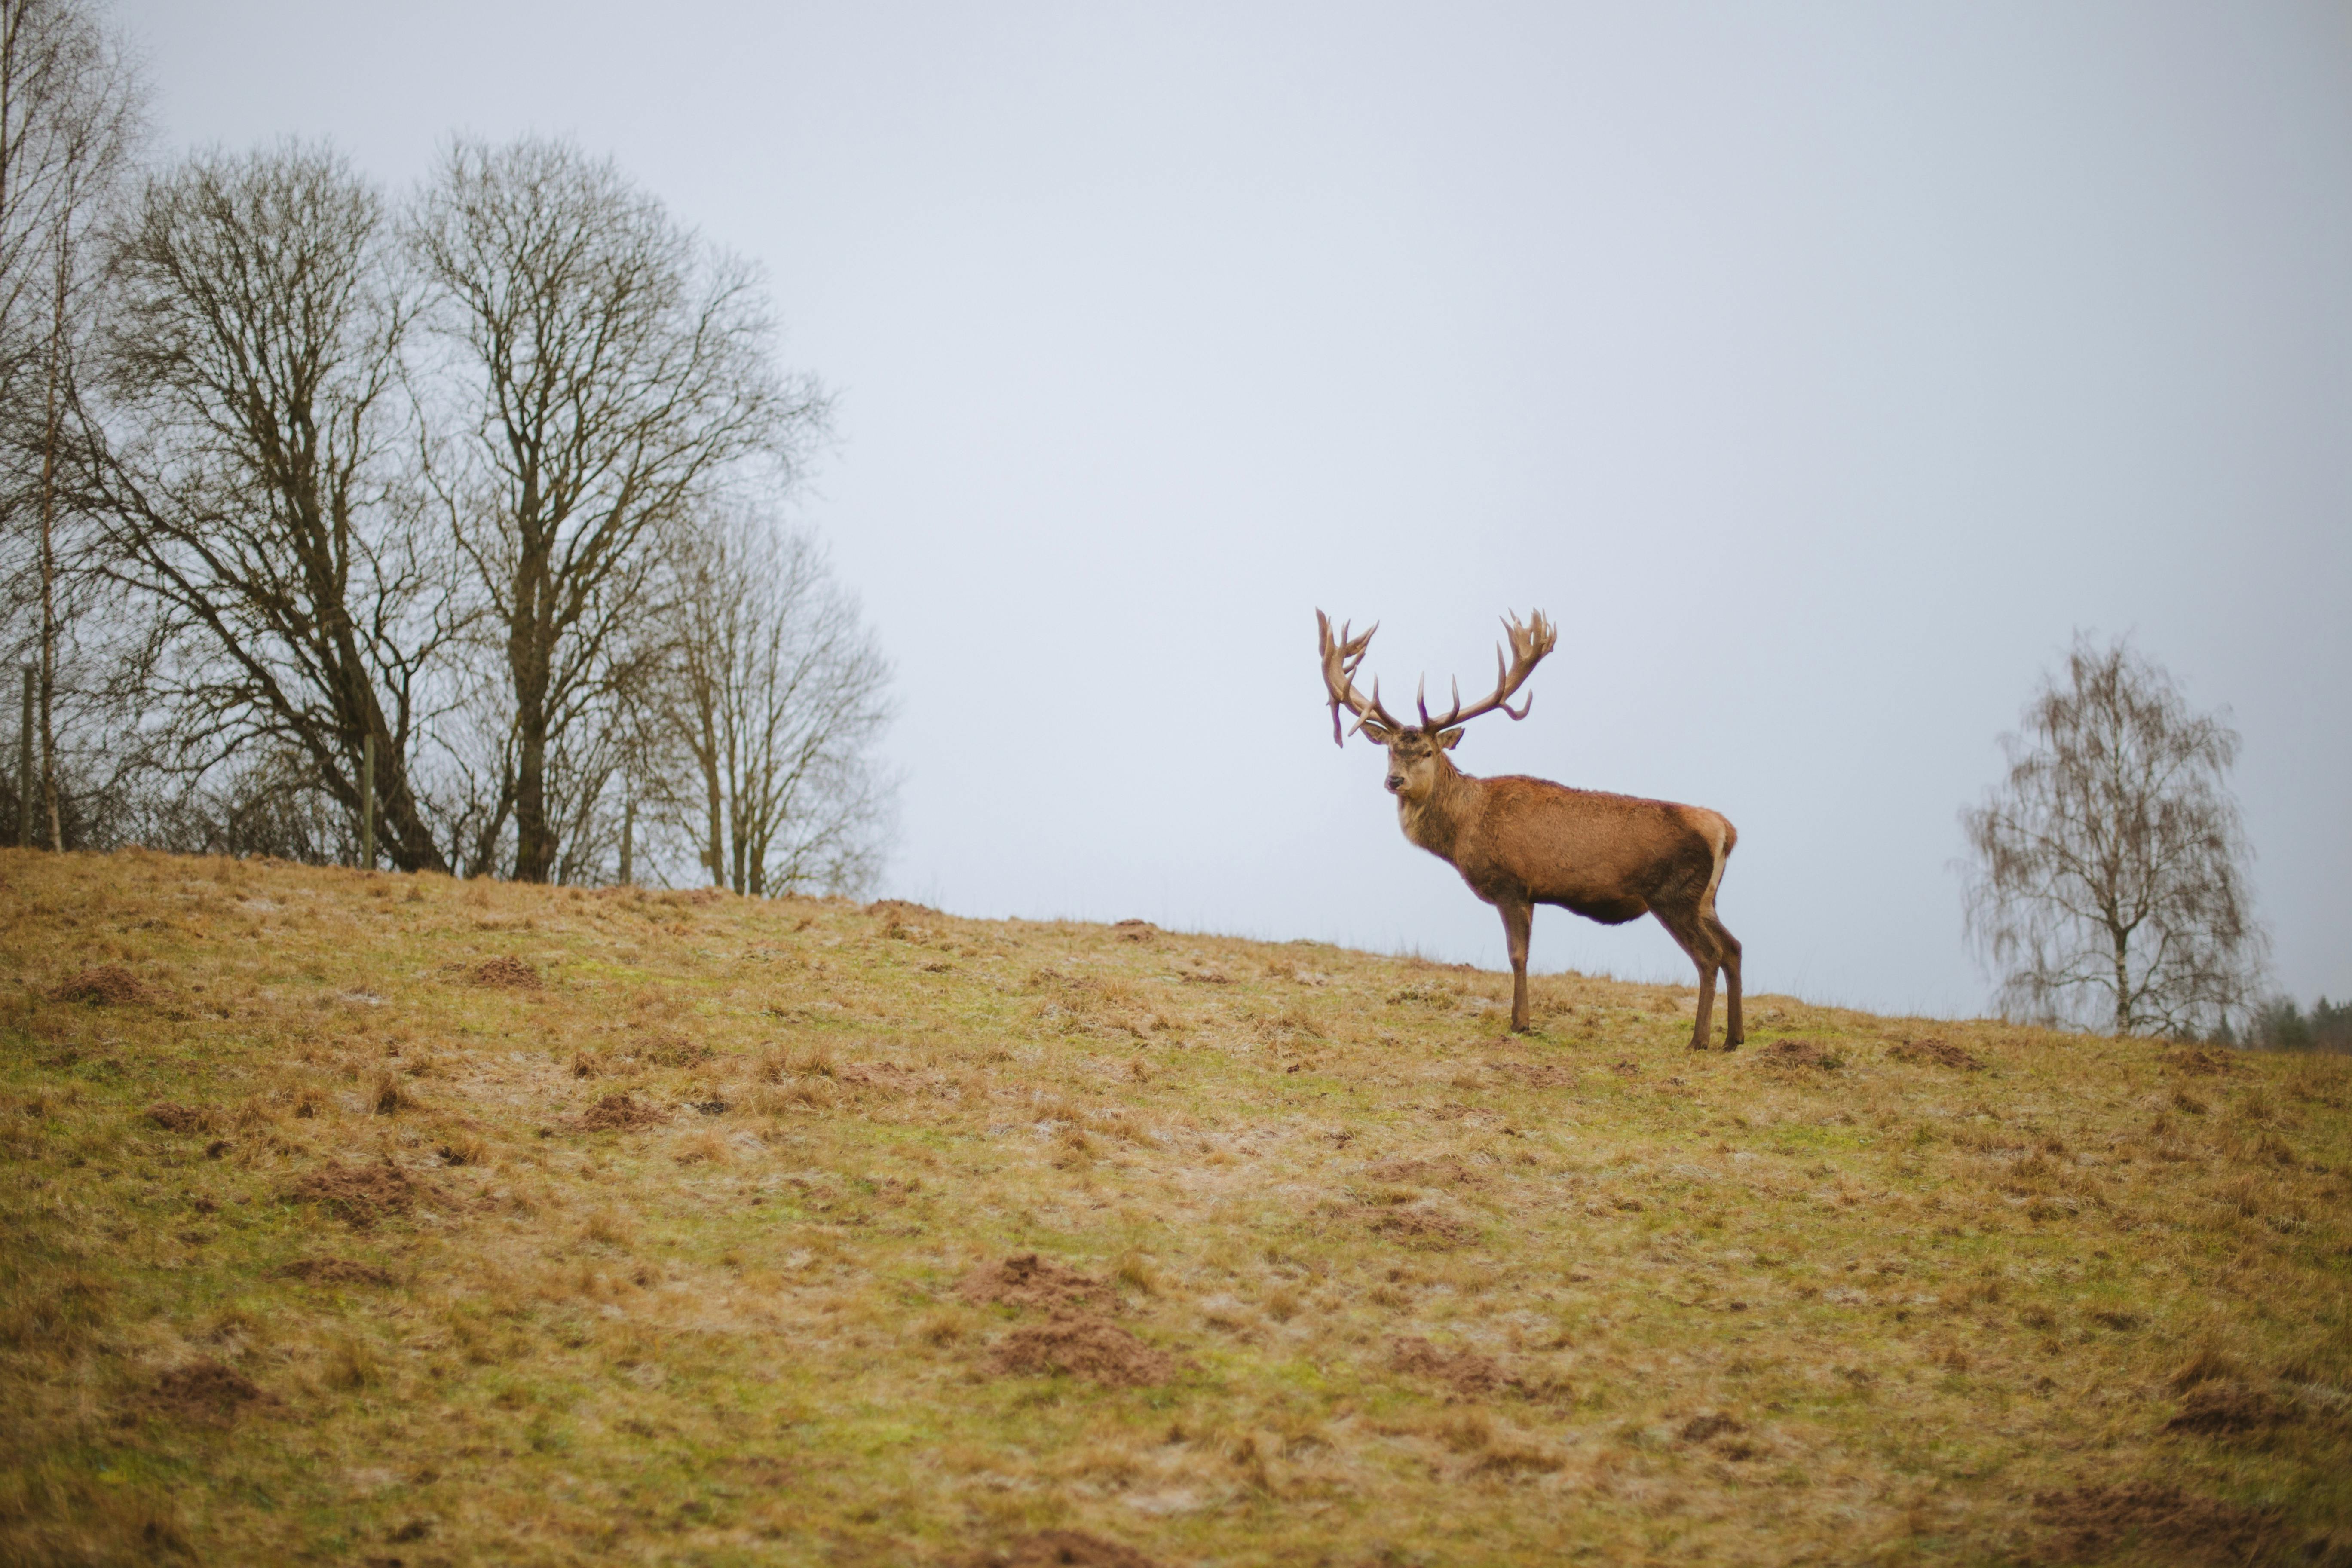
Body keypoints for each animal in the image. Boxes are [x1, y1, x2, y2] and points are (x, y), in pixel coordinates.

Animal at [1316, 609, 1744, 1050]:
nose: (1394, 781)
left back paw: (1699, 1041)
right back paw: (1734, 1039)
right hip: (1704, 898)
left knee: (1708, 956)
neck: (1463, 830)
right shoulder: (1532, 893)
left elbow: (1517, 955)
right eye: (1390, 751)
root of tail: (1725, 830)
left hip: (1675, 894)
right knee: (1734, 948)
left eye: (1429, 752)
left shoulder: (1512, 883)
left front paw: (1519, 1021)